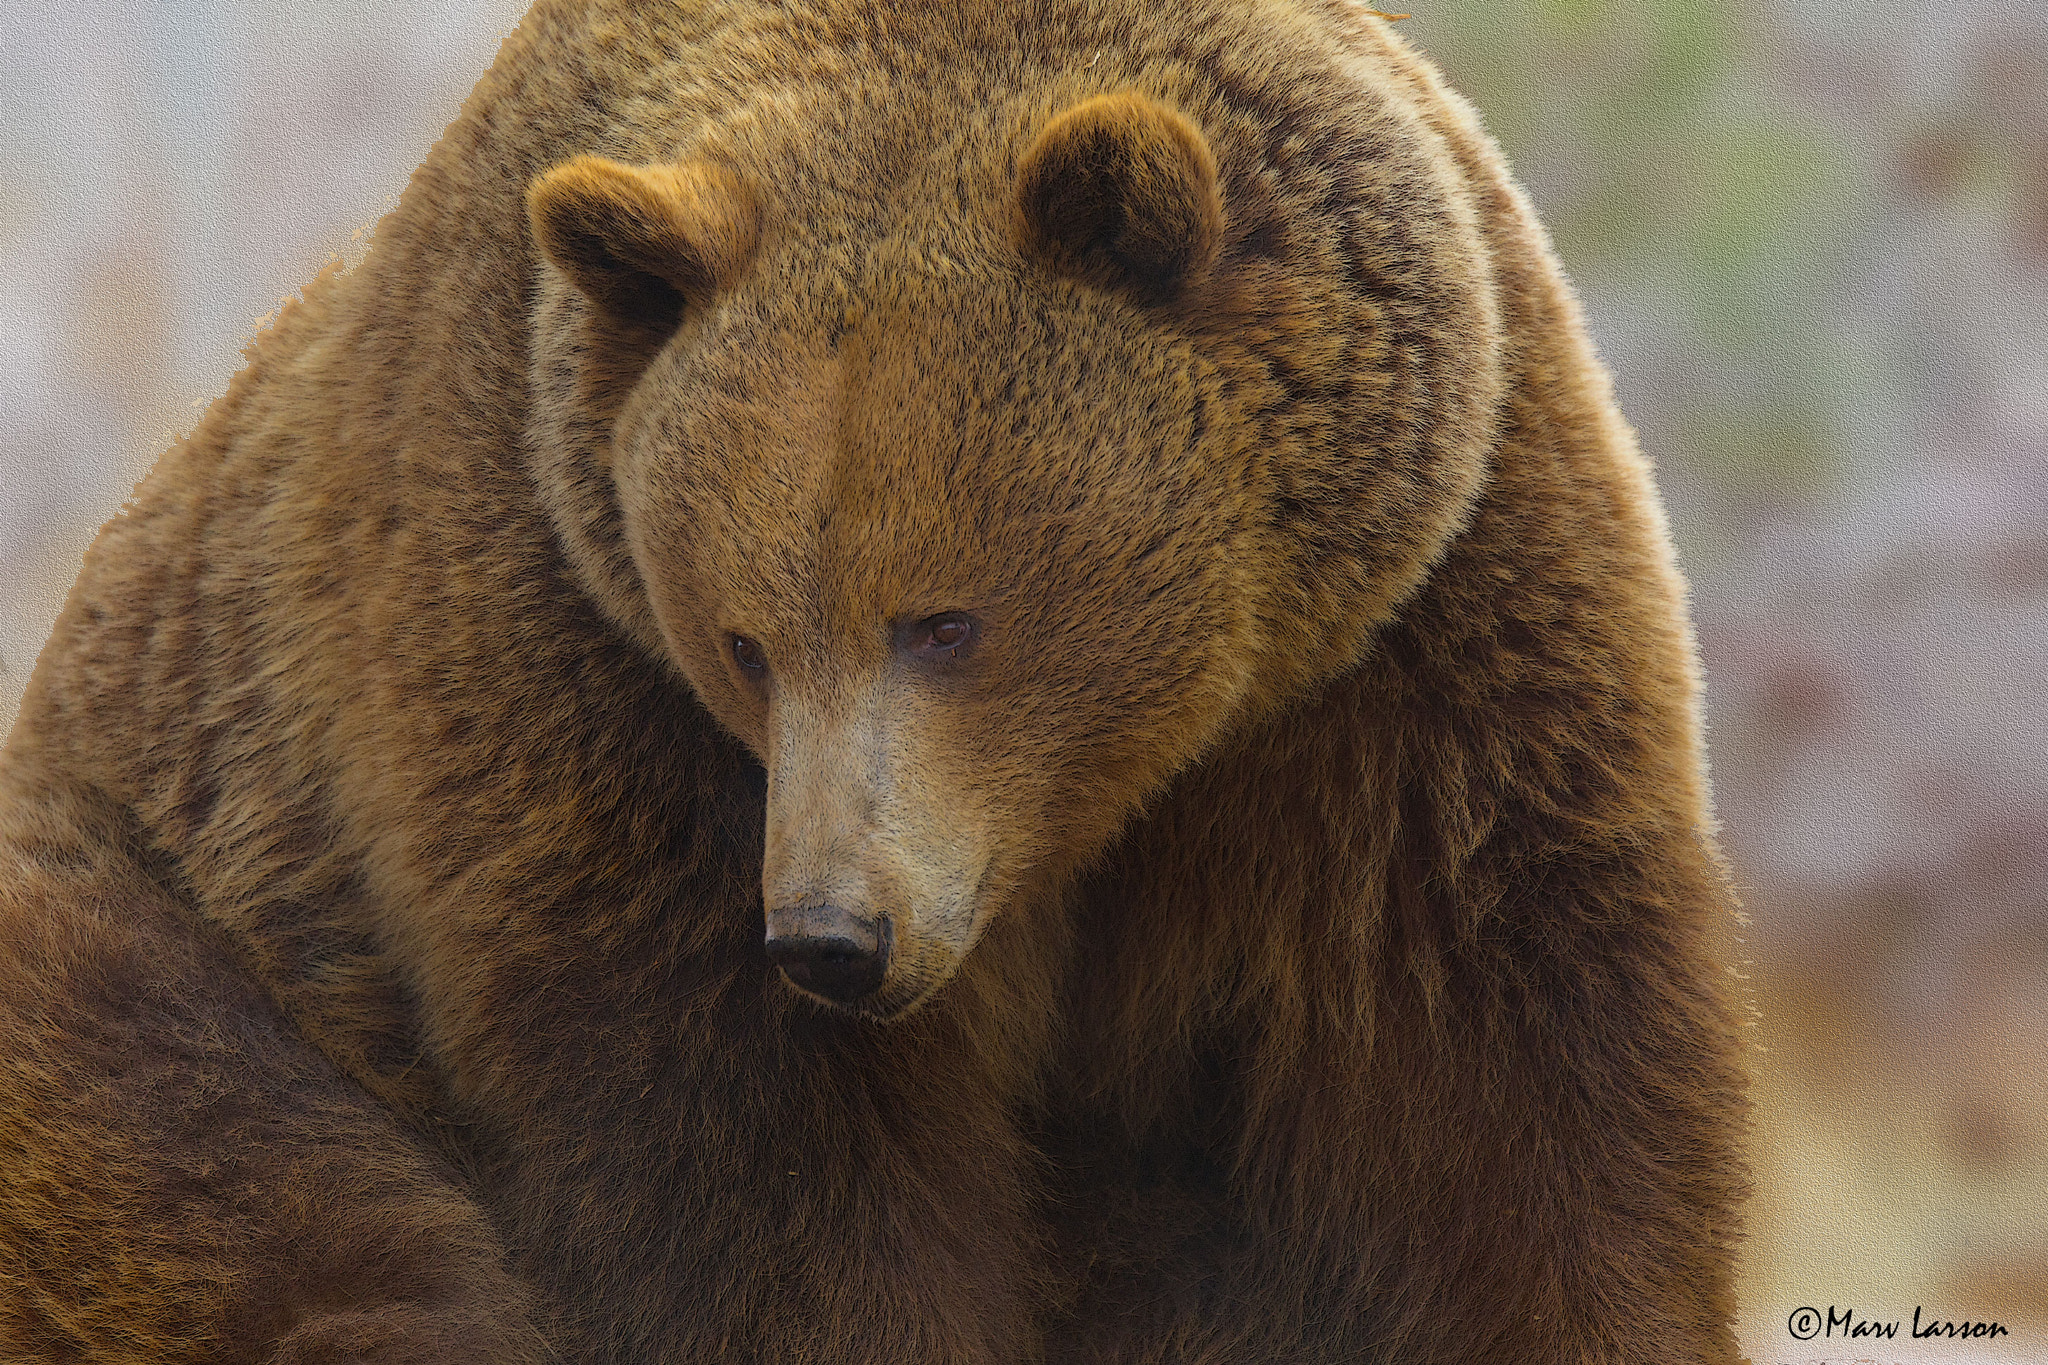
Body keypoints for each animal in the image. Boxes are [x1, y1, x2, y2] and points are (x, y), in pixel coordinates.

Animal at [0, 0, 1751, 1361]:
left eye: (946, 621)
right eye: (743, 639)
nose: (832, 936)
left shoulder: (1411, 640)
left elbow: (1502, 1076)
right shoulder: (568, 662)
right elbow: (762, 1170)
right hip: (173, 948)